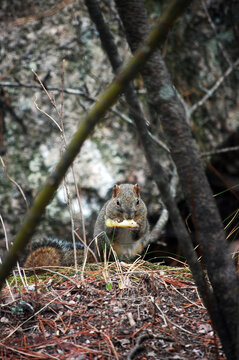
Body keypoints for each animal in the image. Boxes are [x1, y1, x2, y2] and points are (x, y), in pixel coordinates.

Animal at [21, 183, 150, 268]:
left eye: (138, 201)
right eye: (117, 202)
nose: (129, 216)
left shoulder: (144, 220)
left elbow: (140, 232)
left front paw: (136, 227)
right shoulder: (106, 219)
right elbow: (110, 231)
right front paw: (117, 222)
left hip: (139, 247)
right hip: (105, 244)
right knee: (109, 257)